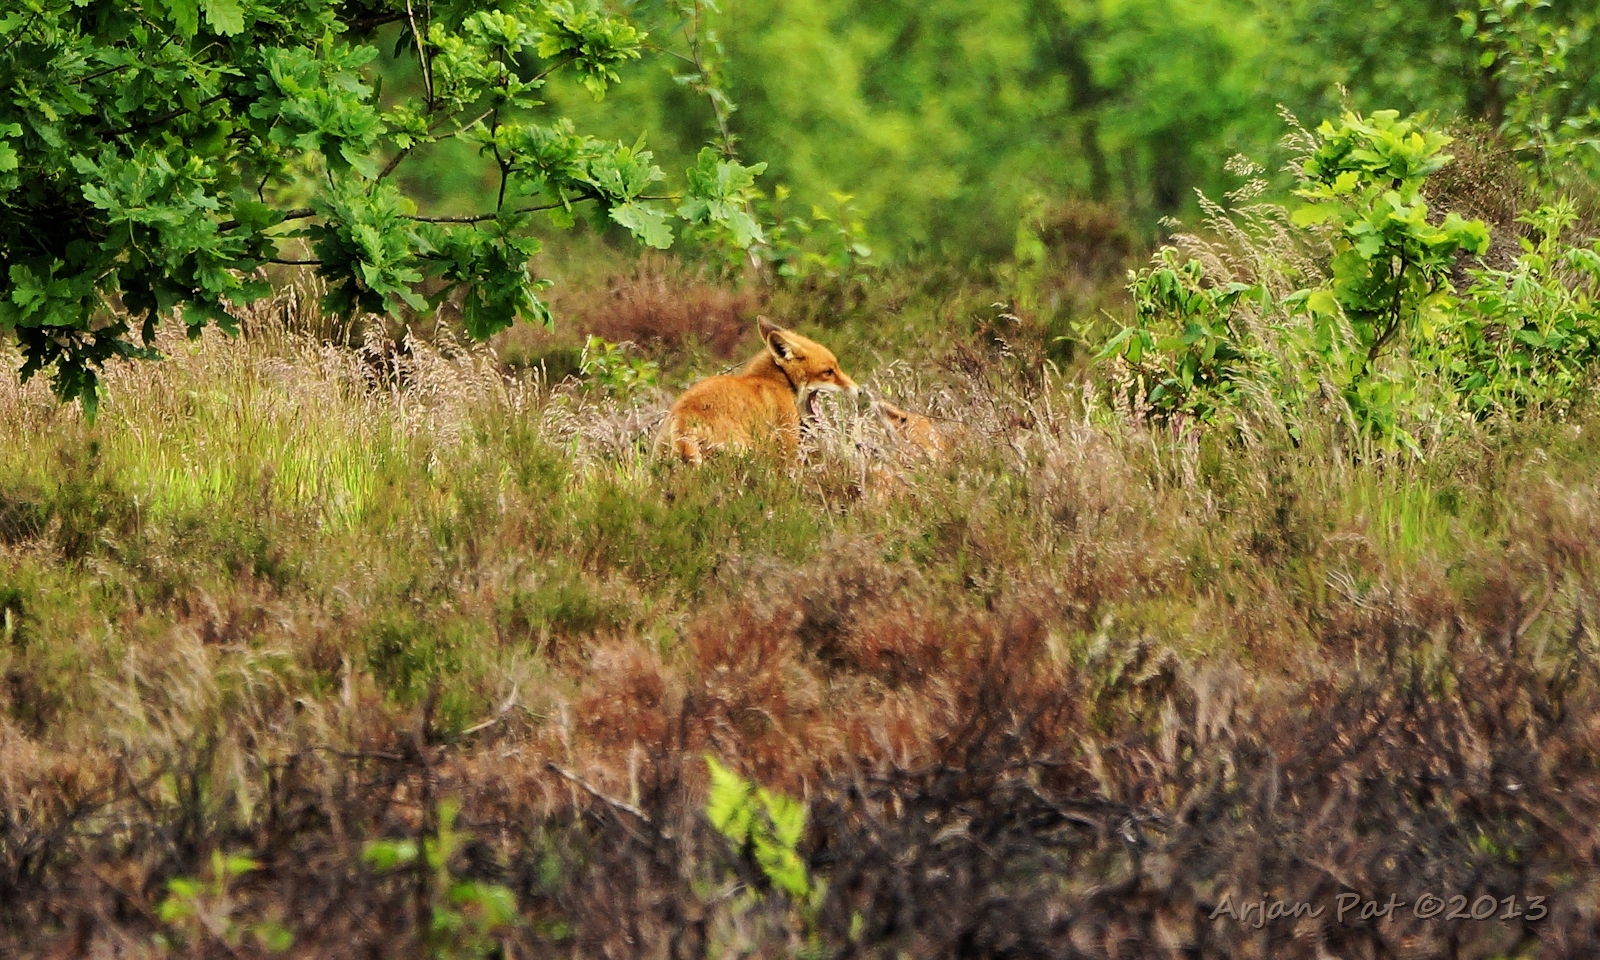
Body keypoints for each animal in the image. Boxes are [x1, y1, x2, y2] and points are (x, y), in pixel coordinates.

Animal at [654, 316, 859, 463]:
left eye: (835, 367)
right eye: (828, 372)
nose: (860, 391)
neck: (778, 381)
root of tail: (683, 415)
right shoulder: (787, 443)